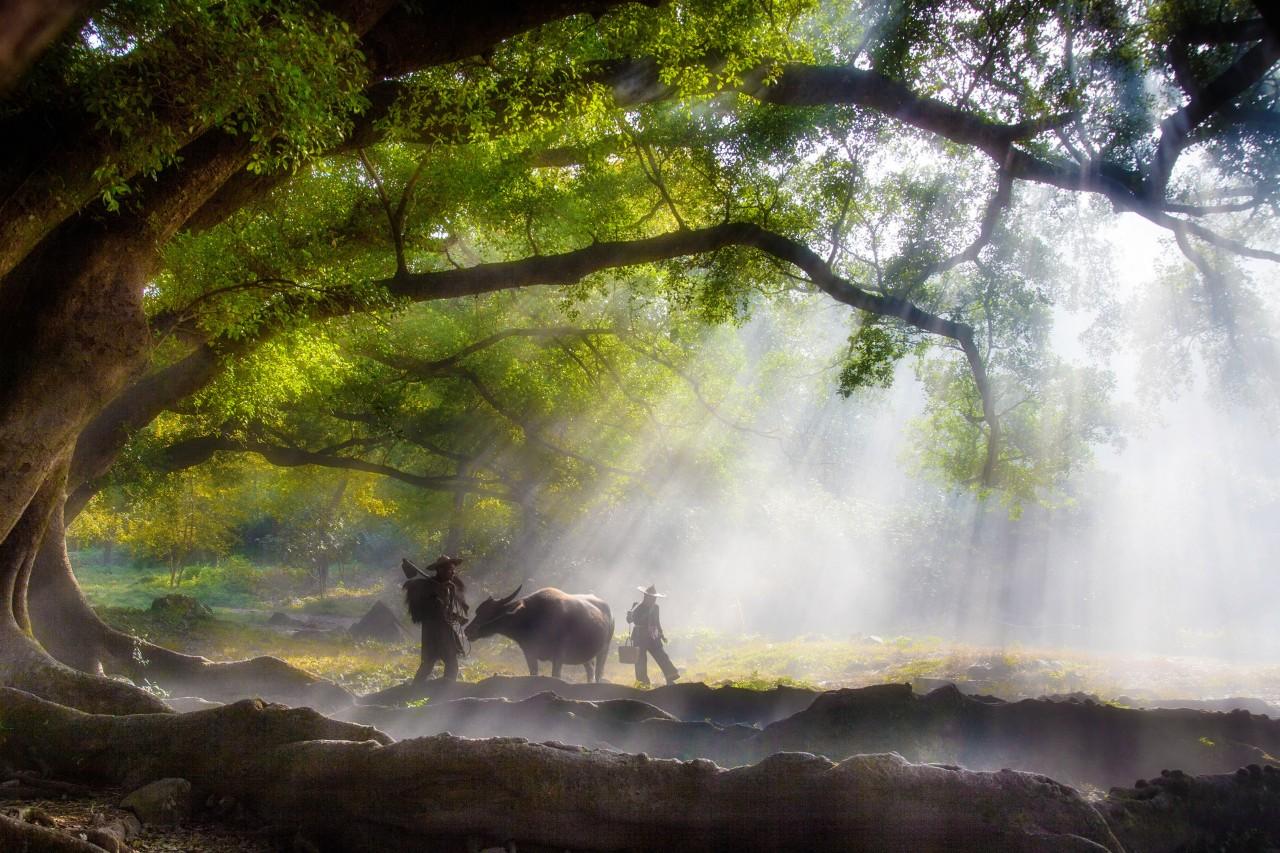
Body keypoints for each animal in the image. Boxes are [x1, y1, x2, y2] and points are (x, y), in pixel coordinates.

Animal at [465, 581, 614, 681]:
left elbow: (556, 676)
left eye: (490, 613)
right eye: (478, 611)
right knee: (590, 670)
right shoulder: (529, 653)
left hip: (604, 649)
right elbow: (533, 673)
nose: (468, 630)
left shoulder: (558, 656)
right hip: (586, 656)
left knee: (599, 672)